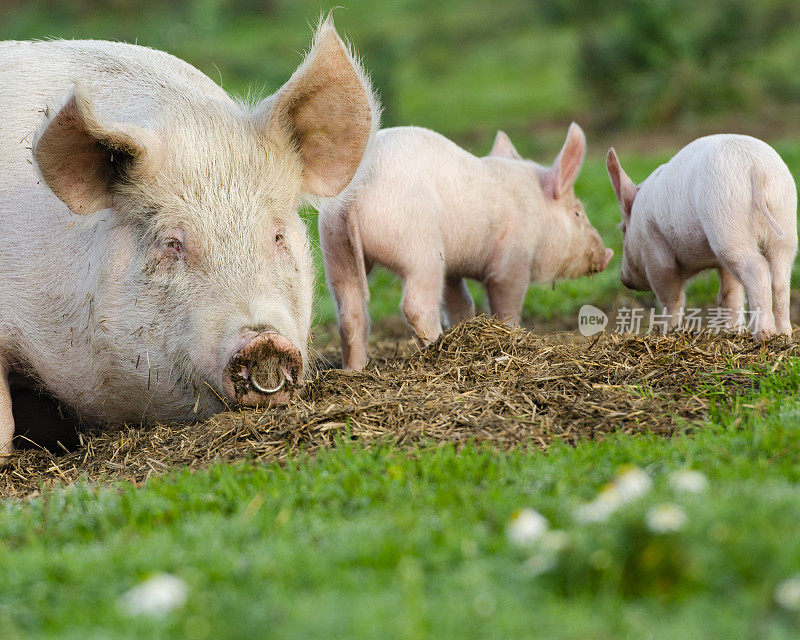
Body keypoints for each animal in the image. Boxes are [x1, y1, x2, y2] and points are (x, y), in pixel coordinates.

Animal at [318, 124, 612, 370]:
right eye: (578, 213)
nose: (608, 254)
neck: (538, 212)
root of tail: (360, 187)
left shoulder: (452, 268)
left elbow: (461, 301)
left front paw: (465, 324)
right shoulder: (512, 260)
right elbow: (507, 306)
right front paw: (512, 335)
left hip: (335, 246)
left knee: (350, 312)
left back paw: (353, 370)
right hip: (420, 249)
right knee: (416, 304)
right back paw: (436, 348)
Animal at [608, 135, 792, 340]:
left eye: (623, 230)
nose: (623, 279)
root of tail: (755, 167)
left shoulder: (654, 246)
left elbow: (670, 297)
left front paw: (666, 332)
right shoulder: (722, 263)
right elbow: (730, 293)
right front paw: (733, 331)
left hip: (727, 223)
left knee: (758, 269)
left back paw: (764, 335)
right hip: (784, 222)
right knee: (780, 279)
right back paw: (785, 334)